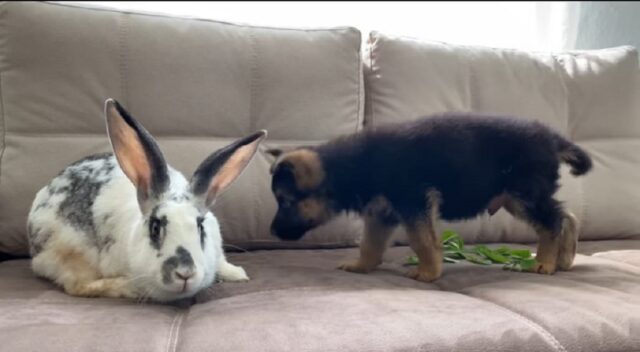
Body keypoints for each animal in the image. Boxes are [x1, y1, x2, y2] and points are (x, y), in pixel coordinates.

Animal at [26, 99, 266, 302]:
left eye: (200, 227)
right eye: (155, 228)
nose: (184, 273)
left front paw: (238, 274)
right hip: (69, 251)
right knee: (77, 286)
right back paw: (127, 288)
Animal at [264, 114, 592, 282]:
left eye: (285, 201)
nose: (272, 232)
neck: (353, 166)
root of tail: (552, 138)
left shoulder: (414, 201)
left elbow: (422, 240)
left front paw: (429, 272)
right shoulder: (382, 212)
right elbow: (370, 244)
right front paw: (362, 266)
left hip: (523, 193)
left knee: (551, 222)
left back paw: (545, 262)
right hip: (518, 197)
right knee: (564, 215)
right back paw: (564, 258)